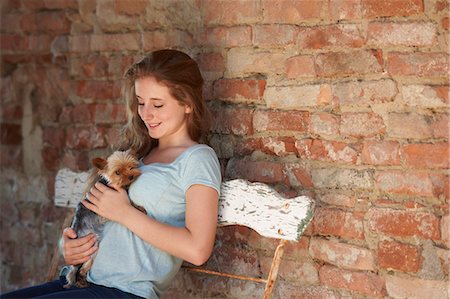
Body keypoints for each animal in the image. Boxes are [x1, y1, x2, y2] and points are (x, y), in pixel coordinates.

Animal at [63, 151, 142, 290]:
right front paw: (139, 208)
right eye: (117, 172)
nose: (131, 176)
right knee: (80, 269)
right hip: (93, 245)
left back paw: (81, 282)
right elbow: (130, 202)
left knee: (81, 269)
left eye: (131, 166)